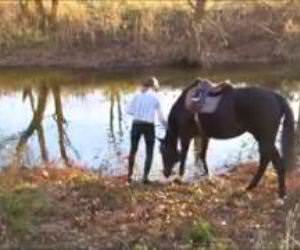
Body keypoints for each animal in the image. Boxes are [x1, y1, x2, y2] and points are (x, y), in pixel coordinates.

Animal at [161, 79, 294, 197]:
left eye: (163, 152)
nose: (165, 173)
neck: (182, 108)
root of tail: (276, 97)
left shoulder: (185, 137)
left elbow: (184, 157)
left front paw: (180, 177)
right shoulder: (204, 136)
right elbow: (202, 155)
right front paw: (206, 175)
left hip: (265, 139)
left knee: (271, 162)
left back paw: (279, 194)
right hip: (264, 138)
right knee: (269, 161)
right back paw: (255, 187)